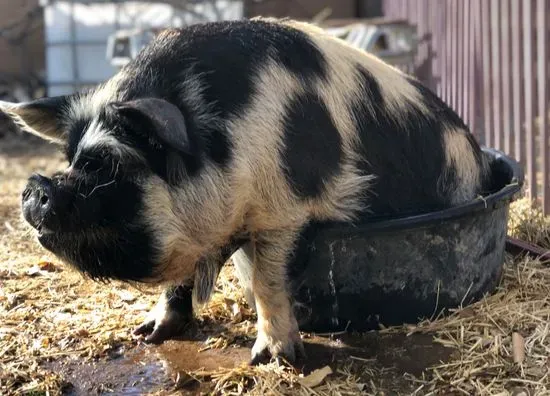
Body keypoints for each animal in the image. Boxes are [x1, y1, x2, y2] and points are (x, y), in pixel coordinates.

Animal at [0, 17, 494, 366]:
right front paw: (148, 333)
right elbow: (179, 283)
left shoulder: (287, 210)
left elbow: (266, 280)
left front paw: (273, 359)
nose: (36, 187)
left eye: (110, 165)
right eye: (71, 158)